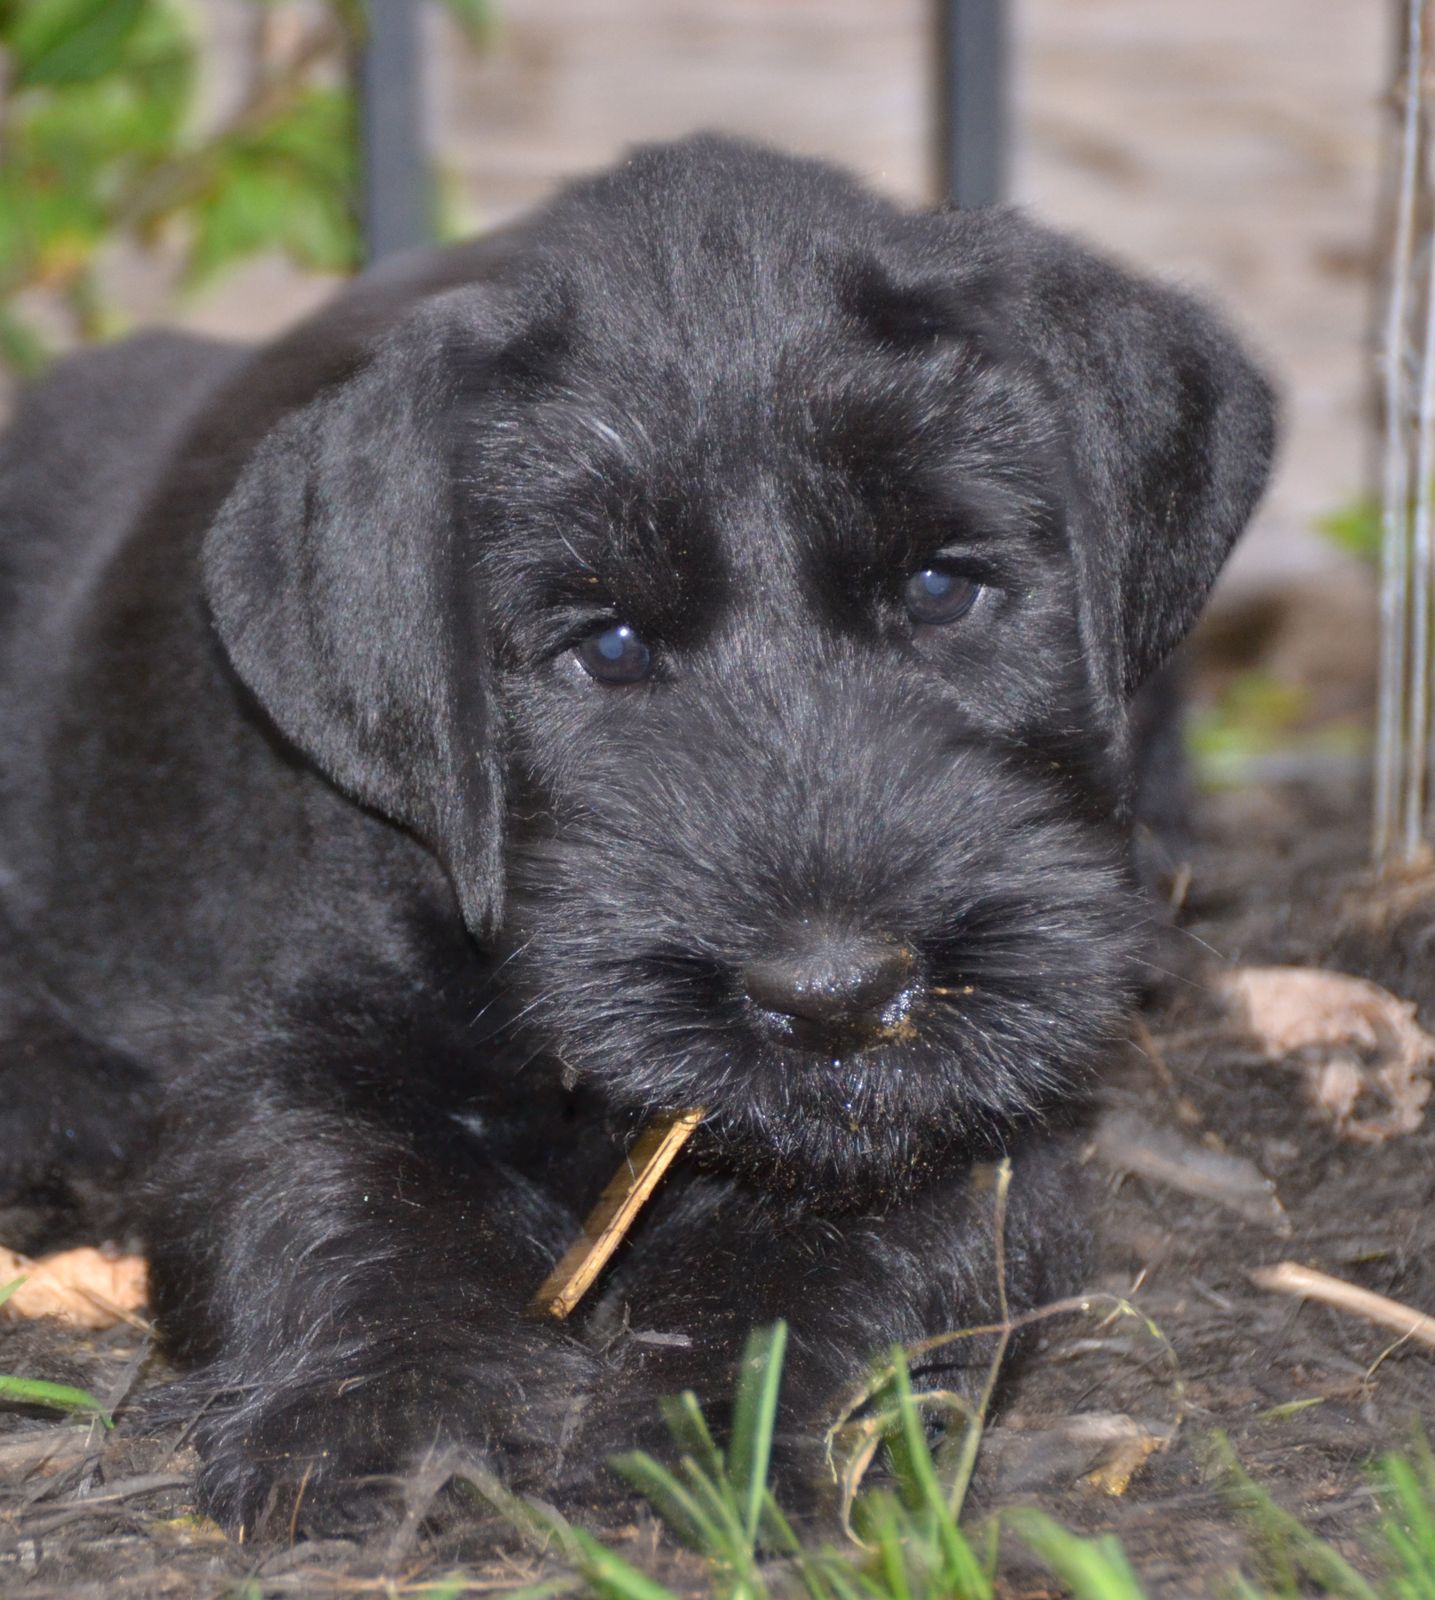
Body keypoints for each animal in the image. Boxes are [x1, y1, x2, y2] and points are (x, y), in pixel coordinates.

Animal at [0, 140, 1279, 1536]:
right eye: (605, 647)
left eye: (944, 586)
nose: (836, 995)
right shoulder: (280, 1042)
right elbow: (335, 1186)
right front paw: (380, 1407)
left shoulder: (983, 1125)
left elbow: (846, 1246)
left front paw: (725, 1421)